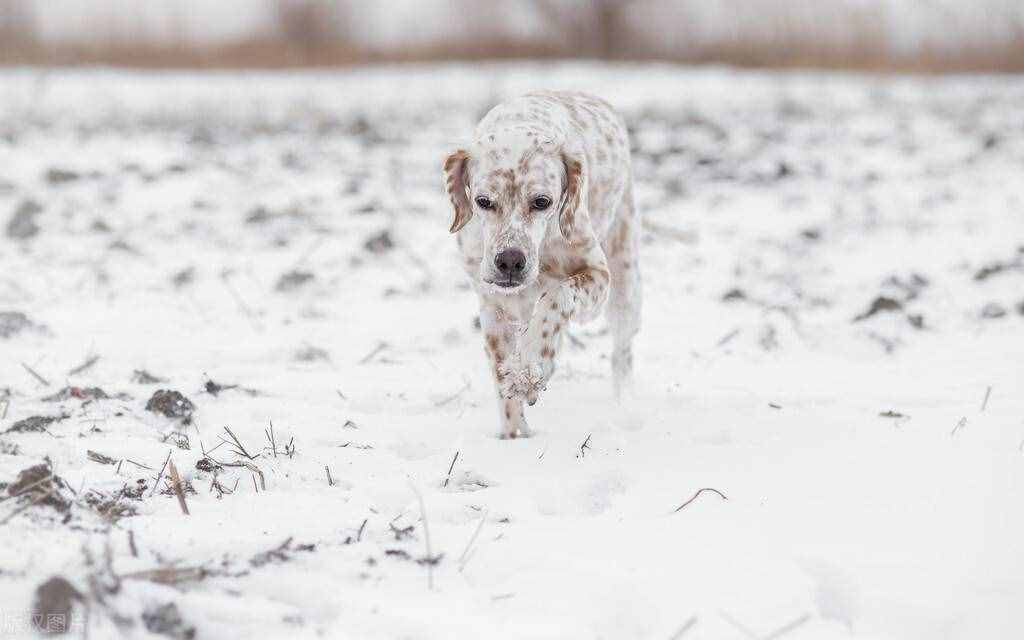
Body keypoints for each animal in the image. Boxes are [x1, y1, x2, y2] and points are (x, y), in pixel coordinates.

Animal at [442, 91, 638, 438]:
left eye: (542, 201)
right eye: (483, 201)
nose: (509, 261)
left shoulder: (598, 275)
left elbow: (557, 298)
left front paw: (530, 368)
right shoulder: (493, 305)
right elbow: (502, 377)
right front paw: (515, 435)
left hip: (624, 280)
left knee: (621, 355)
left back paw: (624, 406)